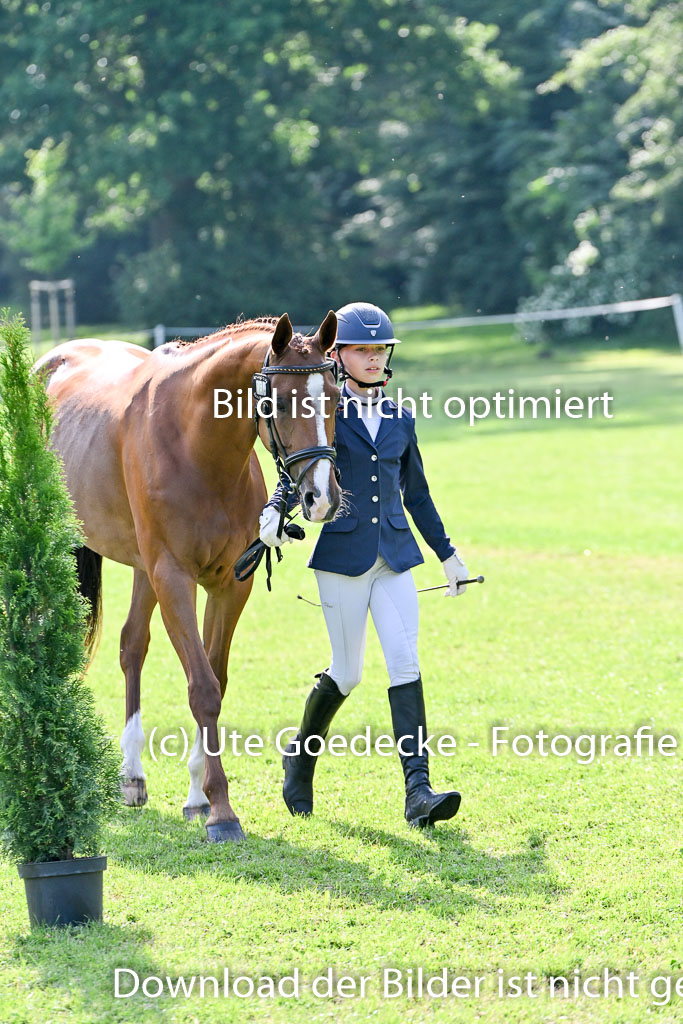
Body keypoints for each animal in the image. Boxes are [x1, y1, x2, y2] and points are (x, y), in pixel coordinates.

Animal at [34, 312, 342, 841]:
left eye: (338, 399)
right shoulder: (174, 577)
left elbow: (216, 678)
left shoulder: (228, 584)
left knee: (132, 646)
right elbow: (203, 689)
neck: (196, 446)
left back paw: (132, 776)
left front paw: (200, 797)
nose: (321, 496)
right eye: (279, 401)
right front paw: (222, 811)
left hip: (143, 569)